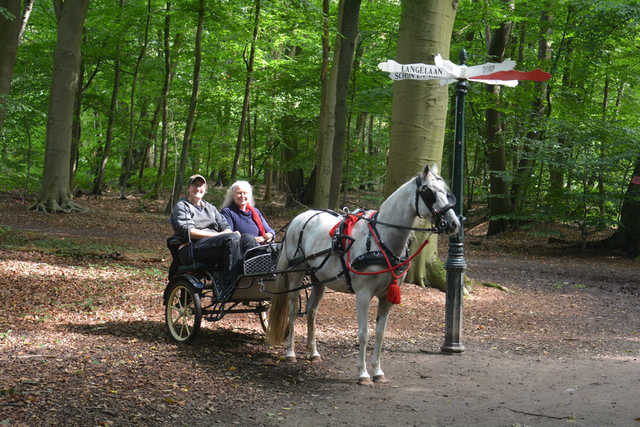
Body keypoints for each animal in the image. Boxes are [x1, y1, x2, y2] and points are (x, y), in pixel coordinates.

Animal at [266, 163, 460, 384]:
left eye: (447, 192)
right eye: (430, 193)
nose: (454, 224)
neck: (381, 240)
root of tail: (300, 217)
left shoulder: (387, 296)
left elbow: (380, 333)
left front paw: (378, 371)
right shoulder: (364, 294)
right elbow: (364, 333)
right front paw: (363, 373)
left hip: (319, 279)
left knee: (311, 311)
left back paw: (313, 352)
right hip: (296, 274)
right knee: (292, 310)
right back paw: (290, 353)